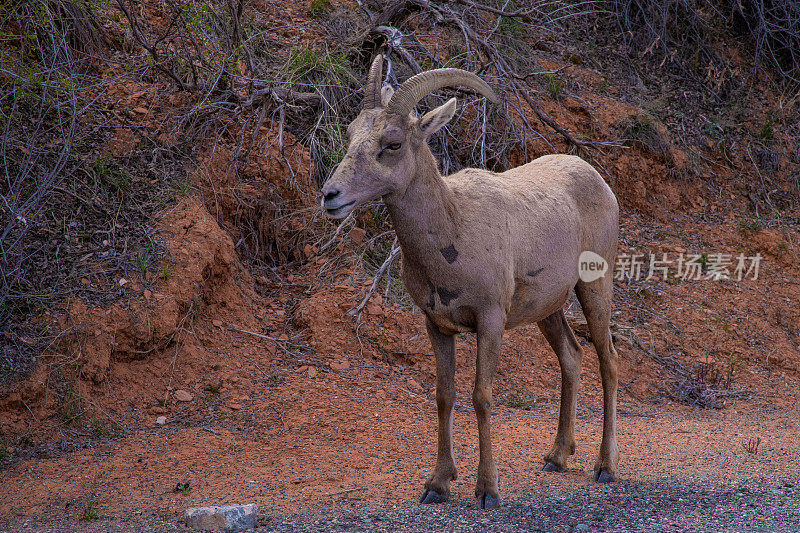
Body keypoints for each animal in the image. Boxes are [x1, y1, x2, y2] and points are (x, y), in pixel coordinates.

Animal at [322, 56, 620, 510]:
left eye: (392, 144)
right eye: (353, 133)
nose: (331, 196)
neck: (454, 227)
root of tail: (602, 183)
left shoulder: (489, 320)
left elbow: (481, 397)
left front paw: (487, 490)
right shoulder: (436, 325)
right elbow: (444, 397)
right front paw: (437, 485)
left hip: (595, 287)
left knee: (608, 361)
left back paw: (605, 467)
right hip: (547, 309)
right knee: (571, 357)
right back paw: (556, 457)